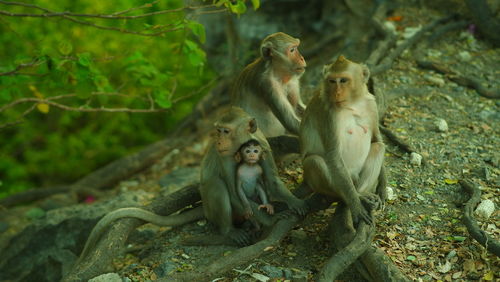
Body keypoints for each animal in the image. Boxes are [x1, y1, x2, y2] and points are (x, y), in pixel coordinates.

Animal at [300, 56, 386, 228]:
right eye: (332, 81)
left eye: (344, 80)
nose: (336, 92)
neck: (353, 103)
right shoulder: (329, 114)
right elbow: (333, 155)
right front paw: (355, 205)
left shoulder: (371, 104)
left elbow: (376, 139)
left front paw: (383, 185)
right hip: (335, 181)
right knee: (314, 161)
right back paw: (354, 198)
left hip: (356, 178)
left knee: (378, 147)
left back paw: (362, 193)